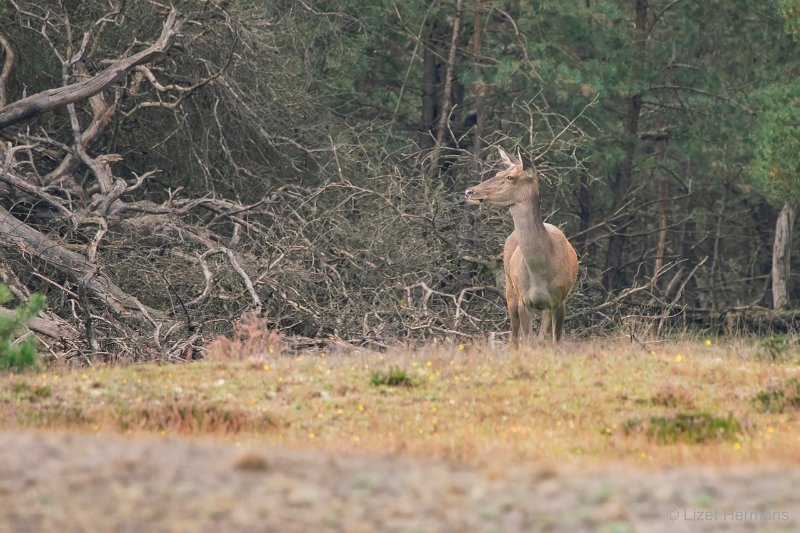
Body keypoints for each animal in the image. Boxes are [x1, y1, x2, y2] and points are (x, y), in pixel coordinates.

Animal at [466, 145, 580, 344]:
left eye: (511, 177)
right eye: (498, 172)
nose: (469, 192)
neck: (541, 272)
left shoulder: (560, 299)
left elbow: (555, 341)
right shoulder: (524, 300)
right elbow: (526, 340)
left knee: (541, 336)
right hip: (510, 289)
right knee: (513, 335)